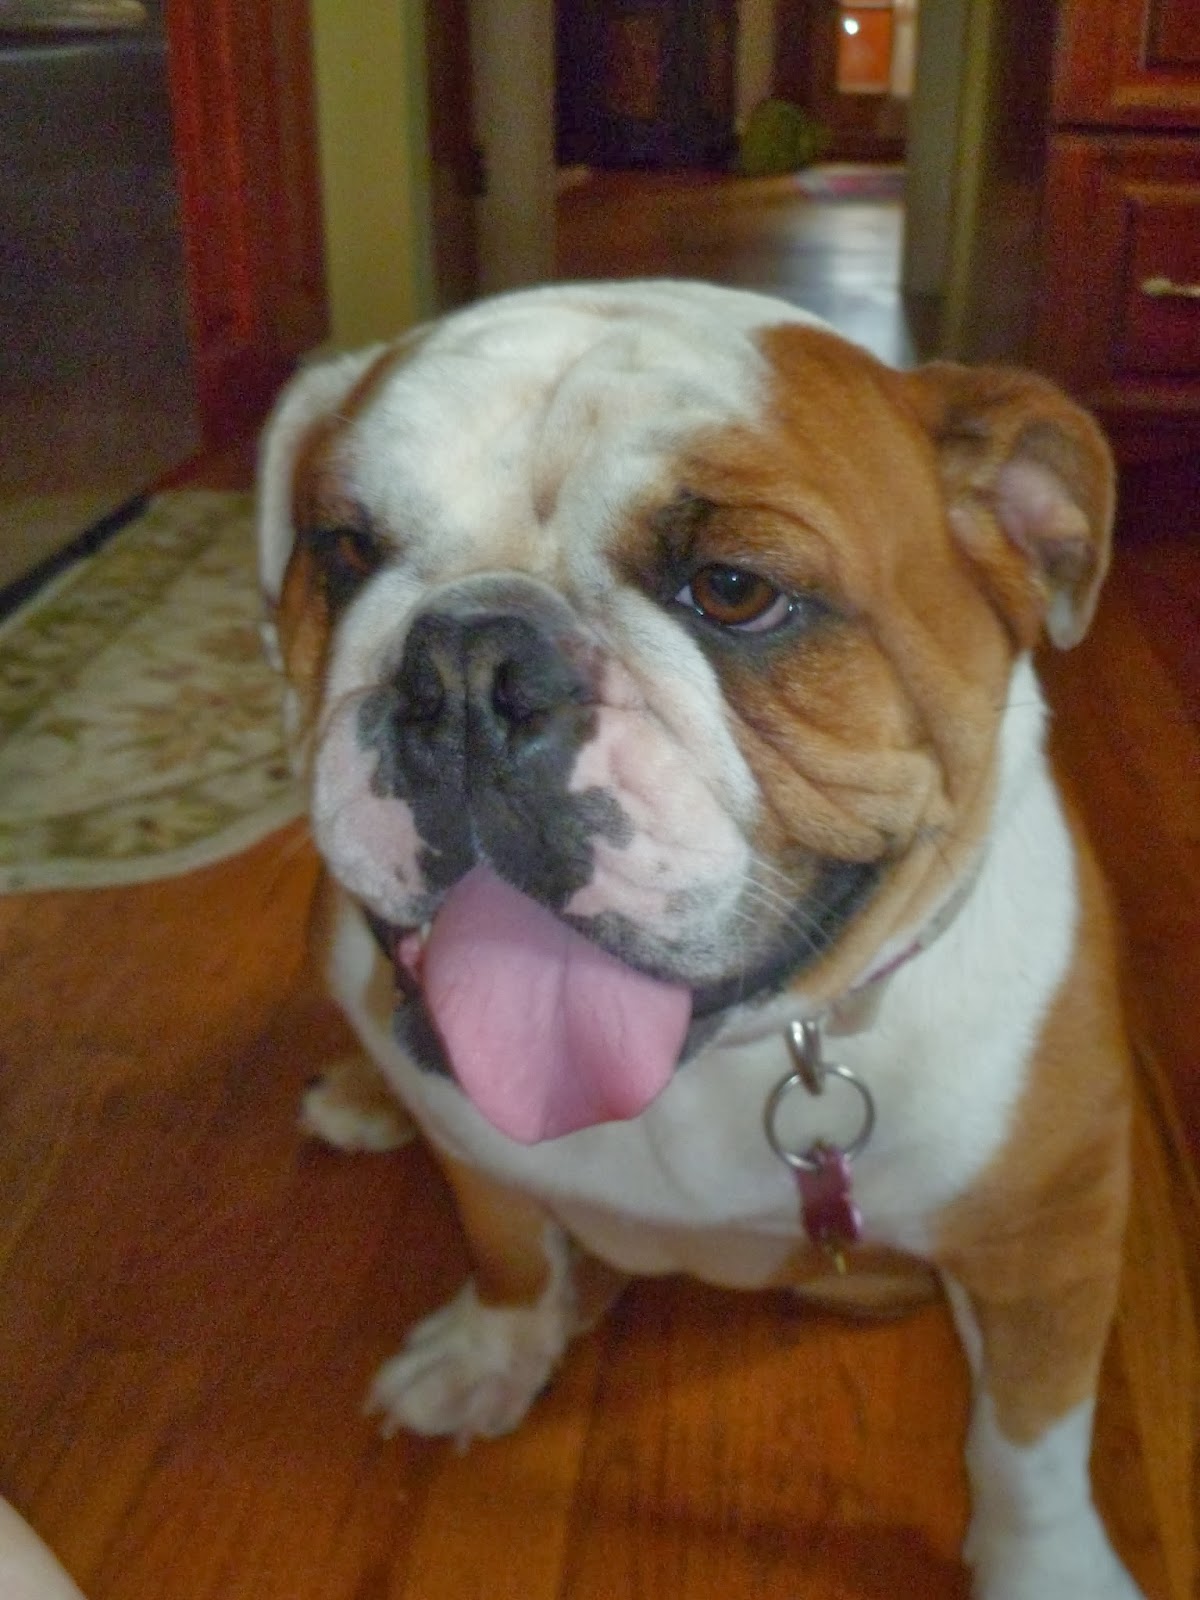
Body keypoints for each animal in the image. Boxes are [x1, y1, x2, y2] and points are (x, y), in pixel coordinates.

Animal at [257, 280, 1143, 1599]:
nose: (466, 663)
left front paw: (1049, 1569)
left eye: (733, 590)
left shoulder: (1052, 1236)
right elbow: (511, 1250)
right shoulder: (483, 1161)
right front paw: (497, 1347)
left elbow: (1028, 1442)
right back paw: (368, 1096)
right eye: (345, 550)